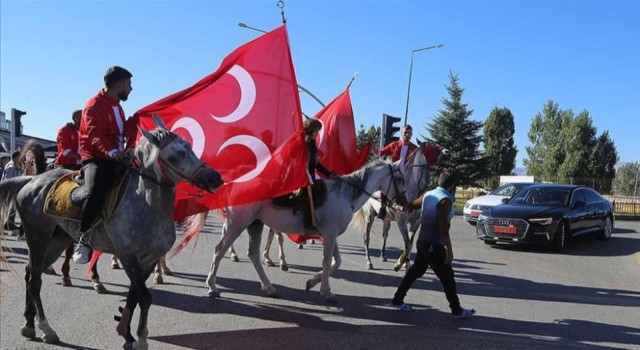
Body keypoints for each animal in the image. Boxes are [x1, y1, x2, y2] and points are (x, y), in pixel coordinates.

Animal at [0, 115, 222, 350]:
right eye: (174, 156)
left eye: (189, 147)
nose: (214, 177)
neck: (147, 203)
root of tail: (32, 180)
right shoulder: (128, 256)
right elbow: (144, 297)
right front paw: (141, 339)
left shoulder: (149, 259)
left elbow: (134, 295)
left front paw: (128, 335)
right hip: (37, 238)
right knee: (35, 281)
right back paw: (46, 328)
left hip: (56, 242)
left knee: (30, 274)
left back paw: (28, 324)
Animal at [181, 160, 404, 302]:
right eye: (400, 178)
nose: (404, 203)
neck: (344, 194)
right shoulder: (330, 235)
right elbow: (327, 262)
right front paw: (326, 292)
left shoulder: (330, 235)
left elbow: (336, 262)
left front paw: (312, 282)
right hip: (237, 224)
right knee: (220, 250)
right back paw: (212, 287)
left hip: (255, 224)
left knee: (253, 254)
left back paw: (269, 287)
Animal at [352, 142, 442, 270]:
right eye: (432, 146)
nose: (446, 151)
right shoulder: (401, 222)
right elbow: (407, 244)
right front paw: (400, 263)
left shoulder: (415, 222)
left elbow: (409, 244)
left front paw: (406, 263)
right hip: (370, 216)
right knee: (366, 237)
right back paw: (369, 262)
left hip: (386, 219)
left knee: (384, 235)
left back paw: (383, 255)